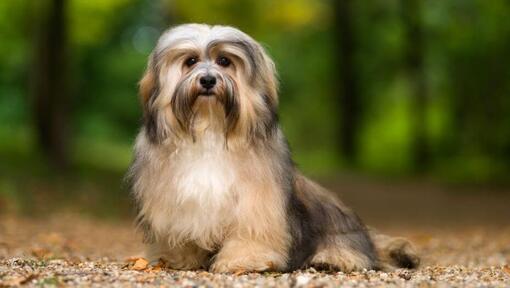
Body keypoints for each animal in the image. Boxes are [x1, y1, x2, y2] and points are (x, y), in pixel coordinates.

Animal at [126, 23, 418, 274]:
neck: (210, 129)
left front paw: (243, 260)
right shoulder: (175, 202)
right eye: (190, 62)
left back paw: (331, 259)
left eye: (224, 61)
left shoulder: (257, 202)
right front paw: (179, 258)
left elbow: (251, 232)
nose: (208, 80)